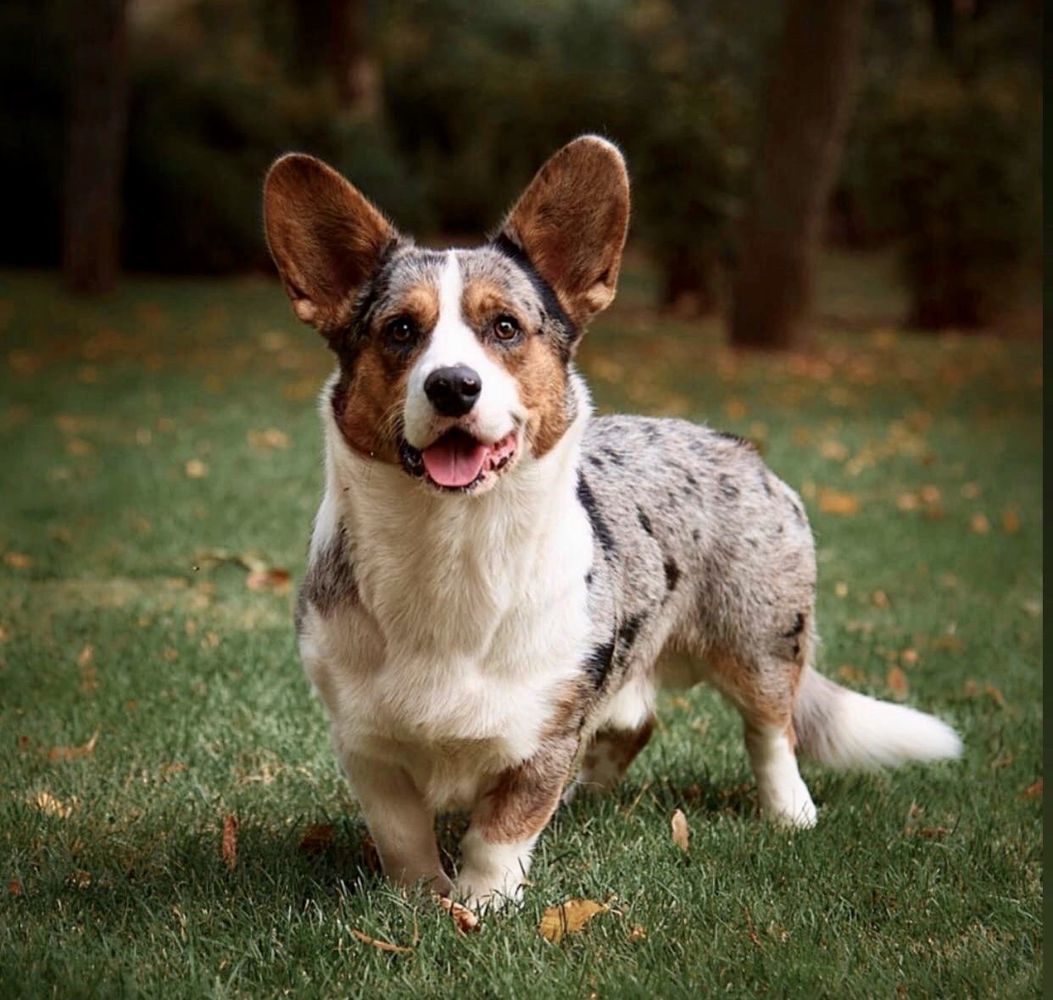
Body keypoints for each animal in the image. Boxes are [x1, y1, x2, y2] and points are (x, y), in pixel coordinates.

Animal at [261, 136, 964, 913]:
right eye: (400, 331)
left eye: (504, 327)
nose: (452, 387)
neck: (453, 545)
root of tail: (739, 447)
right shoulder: (368, 746)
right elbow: (403, 838)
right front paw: (423, 903)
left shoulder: (542, 737)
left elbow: (498, 832)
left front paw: (481, 907)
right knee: (636, 721)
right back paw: (588, 793)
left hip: (759, 642)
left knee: (770, 731)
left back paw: (789, 812)